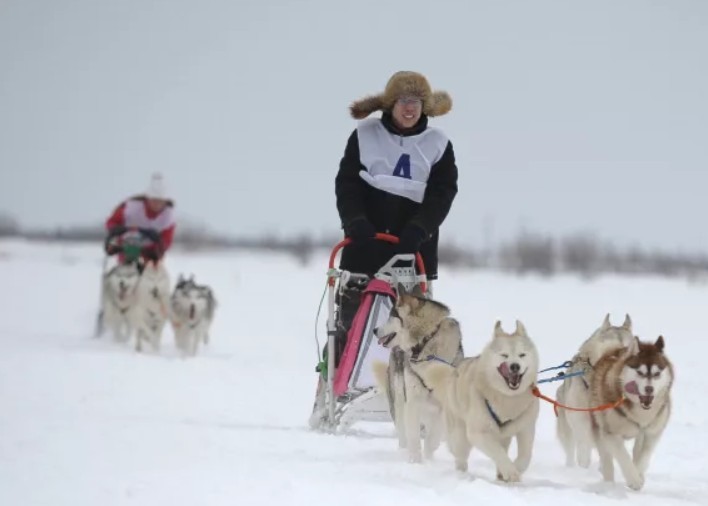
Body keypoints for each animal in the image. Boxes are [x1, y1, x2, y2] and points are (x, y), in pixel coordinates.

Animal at [370, 282, 464, 464]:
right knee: (403, 434)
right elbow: (413, 437)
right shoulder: (413, 402)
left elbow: (433, 438)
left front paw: (428, 458)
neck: (426, 341)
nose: (375, 330)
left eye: (391, 315)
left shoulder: (442, 407)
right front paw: (415, 461)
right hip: (399, 403)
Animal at [418, 320, 540, 482]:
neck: (507, 398)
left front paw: (515, 469)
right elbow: (497, 452)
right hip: (460, 436)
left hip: (503, 436)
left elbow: (525, 455)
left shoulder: (526, 428)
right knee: (460, 457)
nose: (515, 366)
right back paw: (462, 475)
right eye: (504, 355)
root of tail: (454, 372)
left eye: (522, 355)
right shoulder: (478, 432)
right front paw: (510, 471)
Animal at [588, 336, 672, 490]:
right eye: (640, 372)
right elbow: (623, 456)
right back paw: (608, 484)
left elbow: (644, 456)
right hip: (598, 426)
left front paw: (639, 474)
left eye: (657, 374)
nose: (649, 389)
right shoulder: (610, 433)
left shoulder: (652, 432)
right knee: (607, 459)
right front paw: (634, 479)